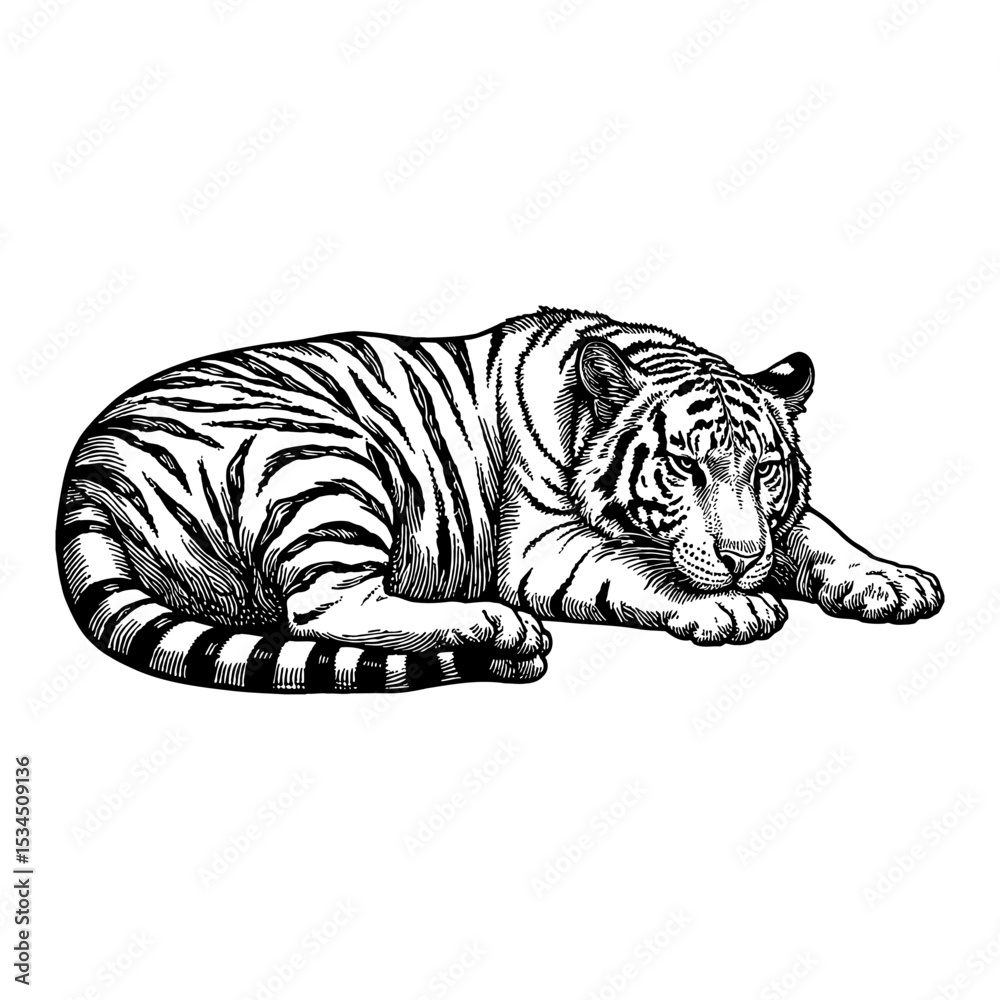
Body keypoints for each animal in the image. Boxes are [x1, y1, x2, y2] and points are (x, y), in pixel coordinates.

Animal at [56, 306, 943, 694]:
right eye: (684, 467)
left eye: (764, 471)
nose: (740, 560)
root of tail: (89, 465)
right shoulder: (546, 547)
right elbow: (640, 569)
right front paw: (729, 606)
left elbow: (819, 535)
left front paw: (891, 579)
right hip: (322, 464)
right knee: (322, 611)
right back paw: (497, 627)